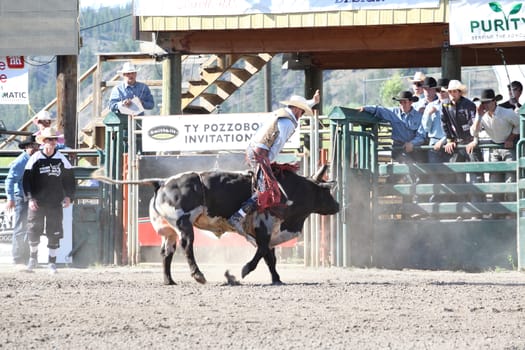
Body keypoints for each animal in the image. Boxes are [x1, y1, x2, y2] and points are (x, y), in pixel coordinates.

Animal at [94, 164, 340, 284]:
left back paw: (169, 280)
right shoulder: (263, 228)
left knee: (166, 252)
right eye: (327, 192)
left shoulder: (269, 232)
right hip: (184, 224)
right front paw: (243, 271)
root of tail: (162, 182)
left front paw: (277, 279)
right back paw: (198, 275)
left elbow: (270, 257)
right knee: (187, 247)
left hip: (167, 230)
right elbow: (262, 253)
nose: (337, 206)